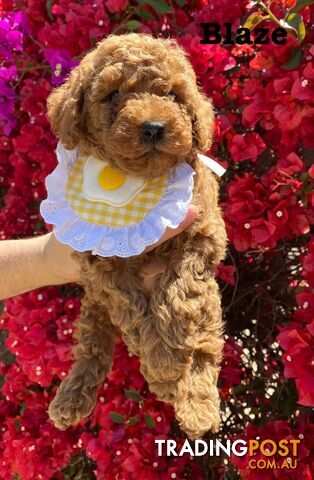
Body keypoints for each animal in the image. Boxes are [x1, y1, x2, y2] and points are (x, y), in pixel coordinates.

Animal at [46, 32, 227, 438]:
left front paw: (166, 361)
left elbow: (177, 293)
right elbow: (131, 308)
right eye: (113, 95)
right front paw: (161, 363)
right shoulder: (100, 264)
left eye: (173, 95)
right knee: (93, 345)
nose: (155, 126)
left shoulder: (202, 237)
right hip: (93, 306)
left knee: (205, 348)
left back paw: (197, 408)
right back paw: (70, 398)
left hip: (210, 305)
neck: (138, 177)